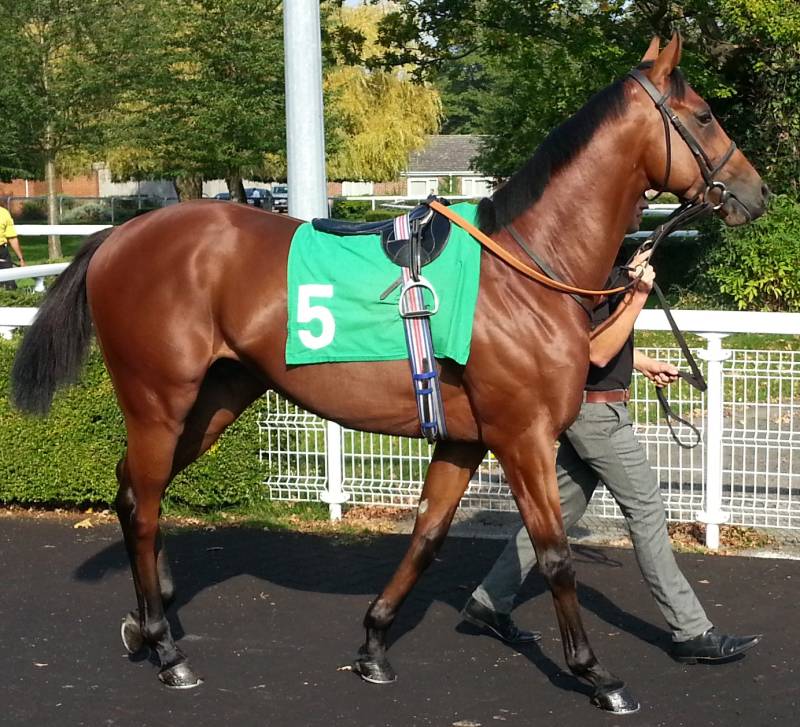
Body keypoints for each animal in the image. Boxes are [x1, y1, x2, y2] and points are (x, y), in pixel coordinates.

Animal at [11, 35, 767, 713]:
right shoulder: (522, 434)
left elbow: (428, 537)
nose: (755, 193)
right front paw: (595, 673)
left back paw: (151, 620)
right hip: (158, 400)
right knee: (143, 501)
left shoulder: (464, 438)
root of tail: (119, 236)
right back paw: (169, 652)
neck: (527, 267)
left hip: (216, 399)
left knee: (136, 490)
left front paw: (374, 644)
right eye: (703, 115)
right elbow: (553, 554)